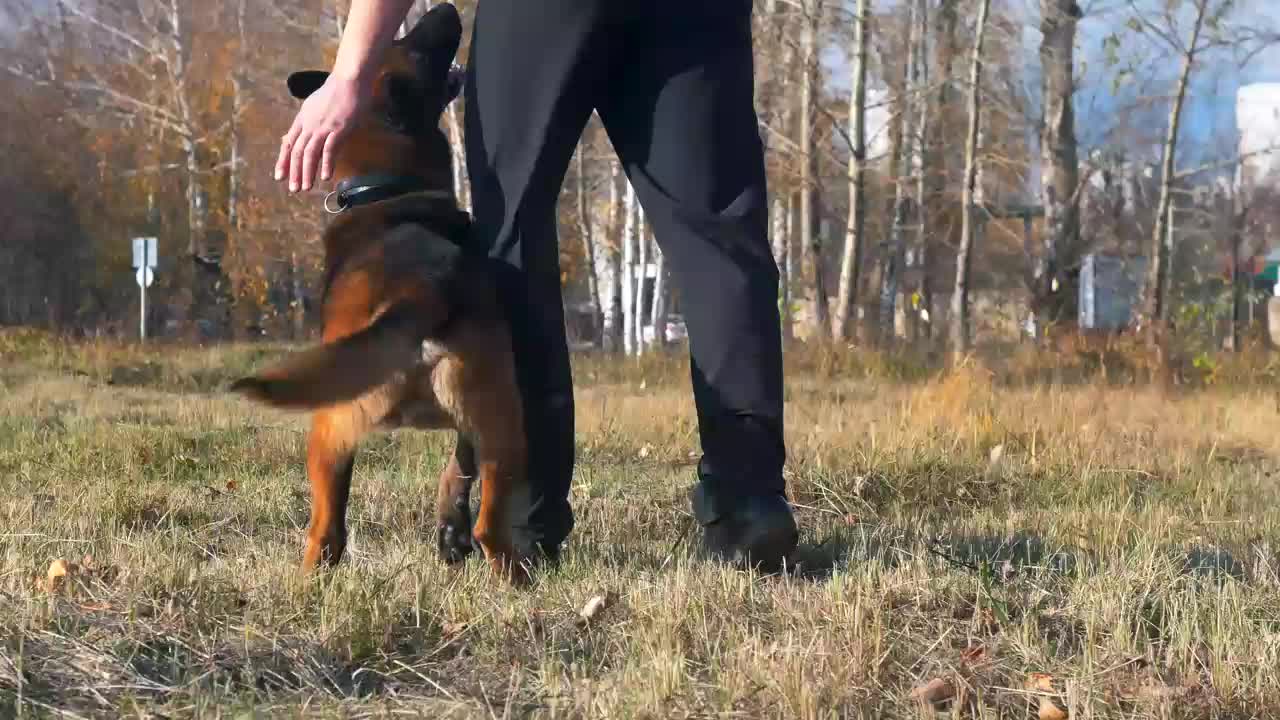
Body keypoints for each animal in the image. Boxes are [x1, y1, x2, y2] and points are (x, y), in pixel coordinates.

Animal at [230, 4, 529, 584]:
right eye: (411, 44)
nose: (445, 10)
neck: (385, 186)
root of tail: (421, 289)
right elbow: (459, 468)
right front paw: (450, 529)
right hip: (496, 424)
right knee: (486, 524)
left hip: (333, 432)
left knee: (328, 531)